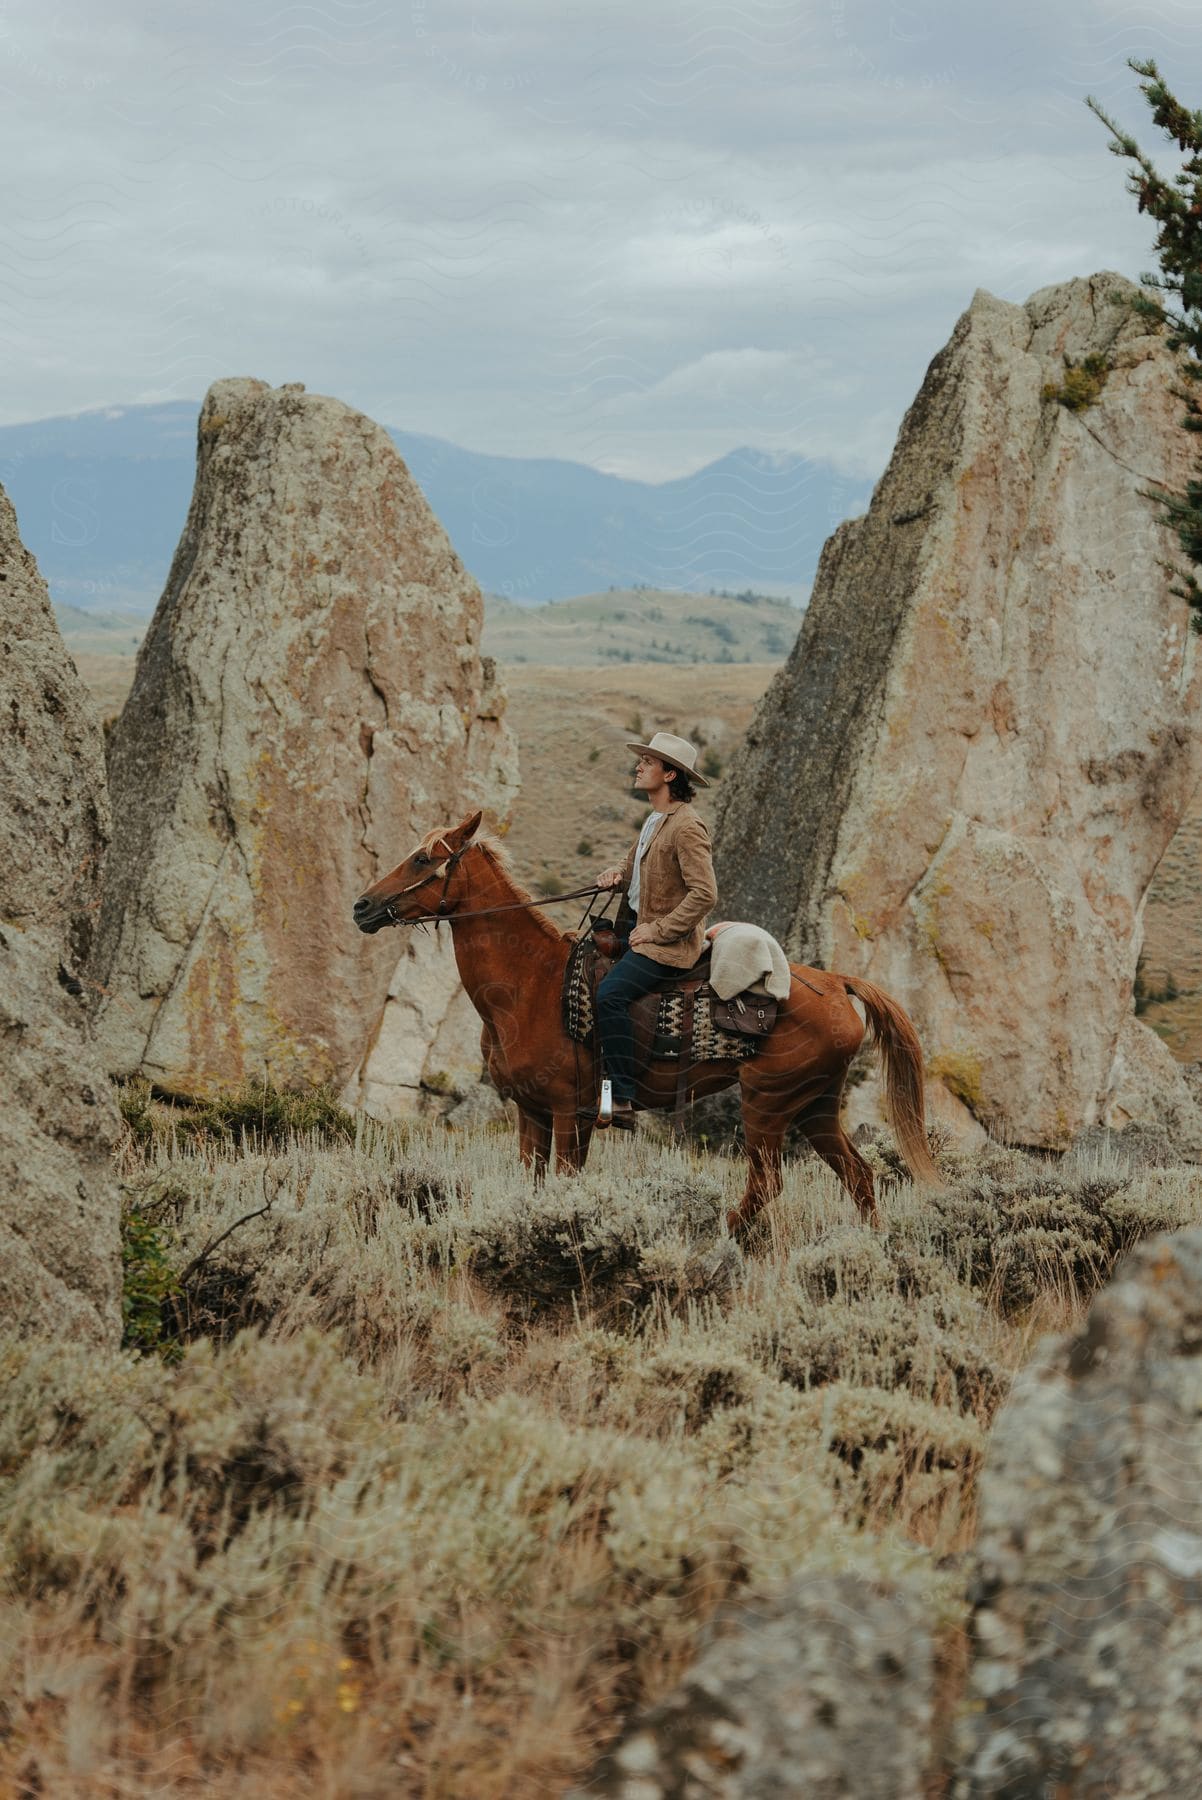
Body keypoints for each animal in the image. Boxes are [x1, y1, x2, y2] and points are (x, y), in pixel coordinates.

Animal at [352, 817, 942, 1238]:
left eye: (422, 858)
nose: (362, 906)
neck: (529, 983)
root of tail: (838, 983)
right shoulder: (532, 1112)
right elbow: (535, 1184)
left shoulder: (569, 1113)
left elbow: (563, 1185)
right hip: (815, 1105)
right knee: (858, 1177)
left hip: (769, 1103)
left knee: (767, 1182)